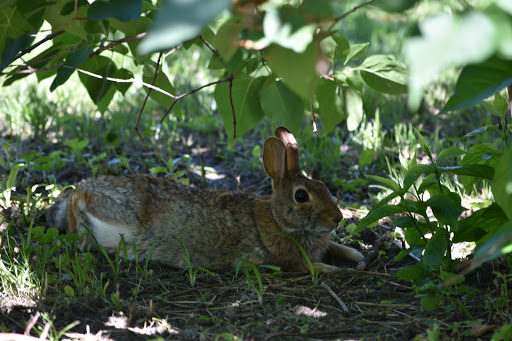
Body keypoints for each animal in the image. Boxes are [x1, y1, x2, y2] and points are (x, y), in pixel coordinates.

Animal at [46, 126, 362, 272]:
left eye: (322, 185)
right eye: (301, 196)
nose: (337, 219)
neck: (278, 219)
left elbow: (335, 246)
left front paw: (356, 256)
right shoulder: (273, 260)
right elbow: (304, 266)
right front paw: (332, 269)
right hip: (122, 216)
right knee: (79, 199)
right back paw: (78, 233)